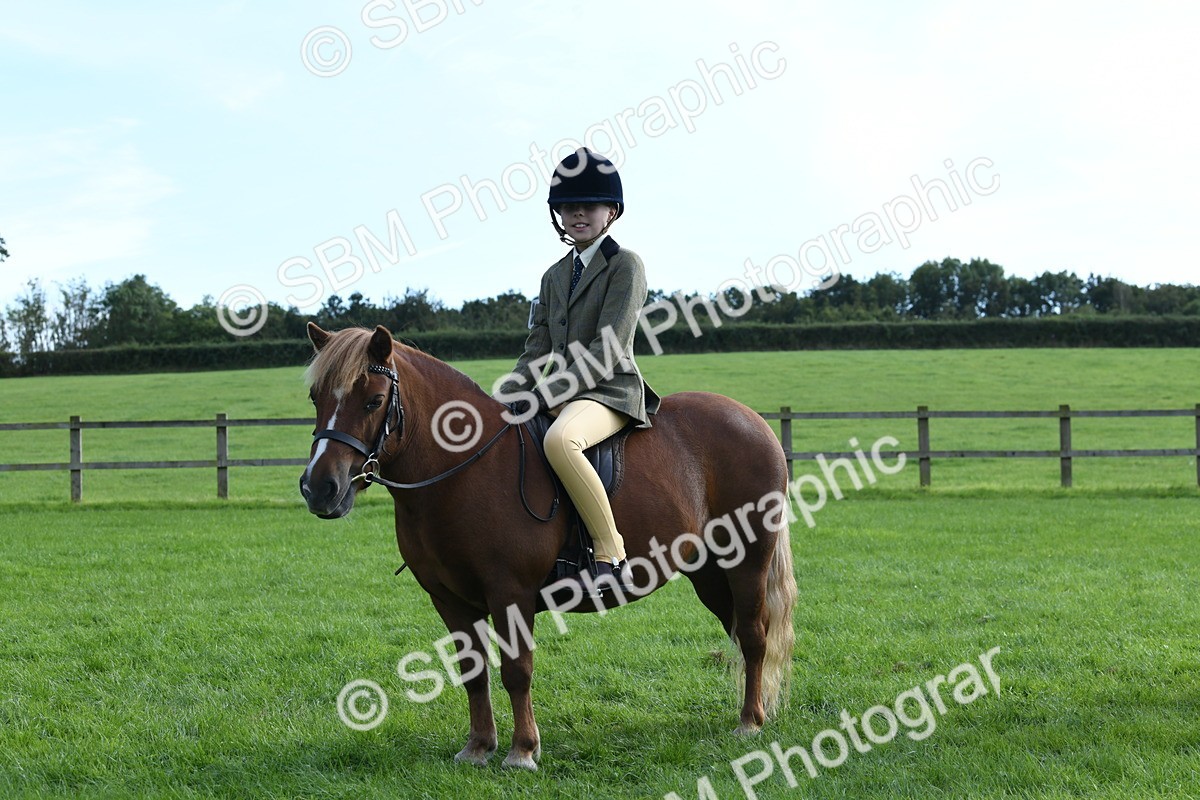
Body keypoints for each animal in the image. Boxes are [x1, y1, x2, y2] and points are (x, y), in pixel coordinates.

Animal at [299, 323, 797, 770]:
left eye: (374, 400)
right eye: (316, 398)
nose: (319, 488)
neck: (461, 470)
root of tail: (753, 420)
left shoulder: (510, 593)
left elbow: (516, 671)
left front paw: (522, 751)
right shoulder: (449, 600)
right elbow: (473, 672)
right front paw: (478, 747)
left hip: (747, 562)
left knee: (754, 635)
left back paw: (750, 723)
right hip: (709, 573)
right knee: (740, 632)